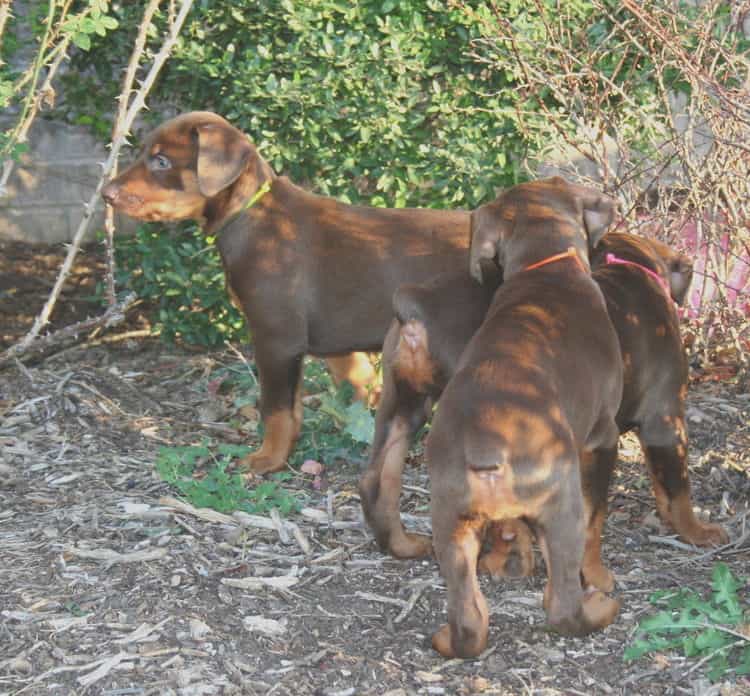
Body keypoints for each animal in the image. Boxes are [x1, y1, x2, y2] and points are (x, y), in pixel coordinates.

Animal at [103, 111, 472, 476]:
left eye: (161, 161)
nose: (106, 194)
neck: (249, 213)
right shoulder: (339, 346)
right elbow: (359, 387)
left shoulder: (276, 338)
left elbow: (278, 410)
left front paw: (268, 459)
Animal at [424, 177, 624, 656]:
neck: (544, 267)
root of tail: (486, 444)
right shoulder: (603, 438)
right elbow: (597, 522)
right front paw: (600, 574)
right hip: (562, 499)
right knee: (563, 606)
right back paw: (598, 609)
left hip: (449, 521)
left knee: (469, 620)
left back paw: (449, 637)